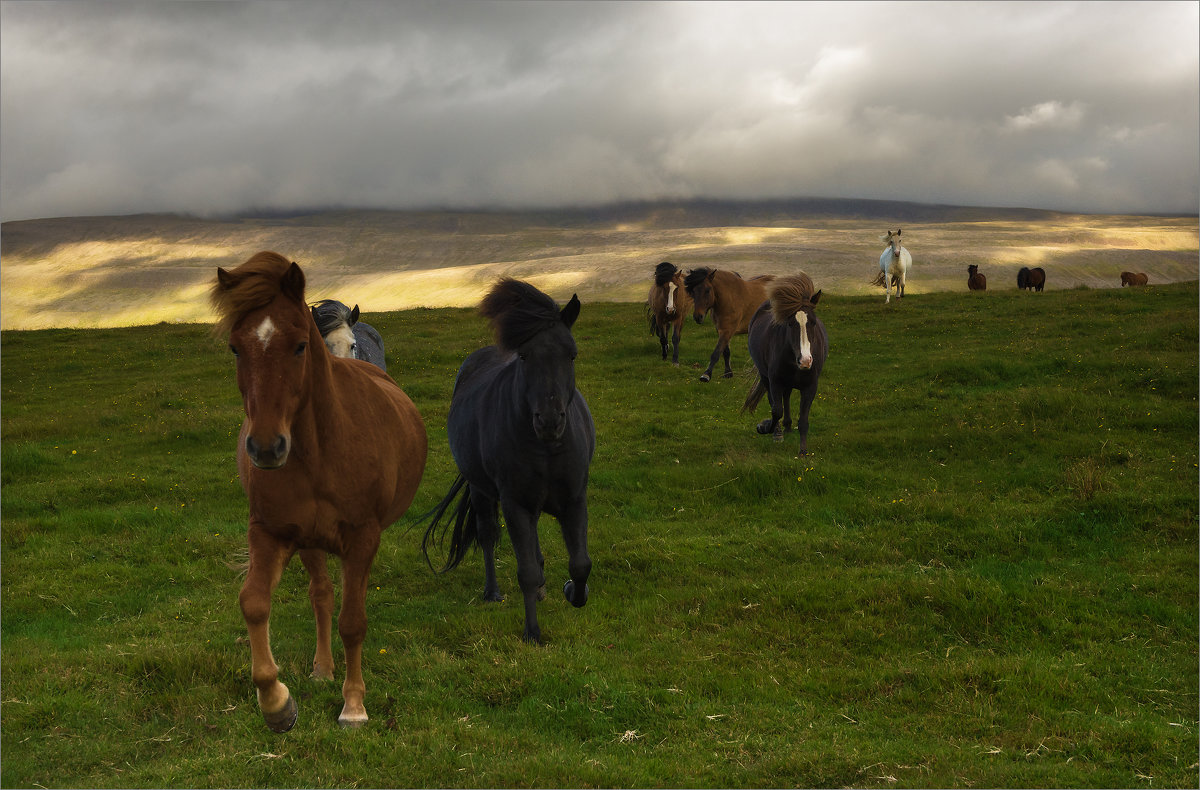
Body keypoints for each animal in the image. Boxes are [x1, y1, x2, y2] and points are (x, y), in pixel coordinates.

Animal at [211, 249, 427, 729]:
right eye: (235, 347)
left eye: (298, 346)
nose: (266, 447)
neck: (320, 453)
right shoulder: (271, 532)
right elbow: (254, 602)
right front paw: (276, 702)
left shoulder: (362, 539)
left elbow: (354, 622)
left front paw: (354, 706)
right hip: (309, 542)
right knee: (322, 597)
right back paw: (323, 669)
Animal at [422, 279, 595, 643]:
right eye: (525, 356)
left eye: (571, 354)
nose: (549, 421)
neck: (547, 448)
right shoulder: (515, 502)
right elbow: (525, 571)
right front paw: (533, 632)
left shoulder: (574, 499)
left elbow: (580, 564)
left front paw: (574, 591)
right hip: (482, 490)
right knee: (488, 534)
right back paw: (493, 592)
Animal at [739, 271, 825, 449]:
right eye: (790, 323)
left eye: (813, 322)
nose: (805, 361)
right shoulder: (775, 381)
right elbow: (776, 410)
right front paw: (766, 428)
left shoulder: (811, 386)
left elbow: (803, 419)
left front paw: (803, 451)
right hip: (766, 377)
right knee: (775, 402)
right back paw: (779, 430)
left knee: (786, 396)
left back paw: (787, 426)